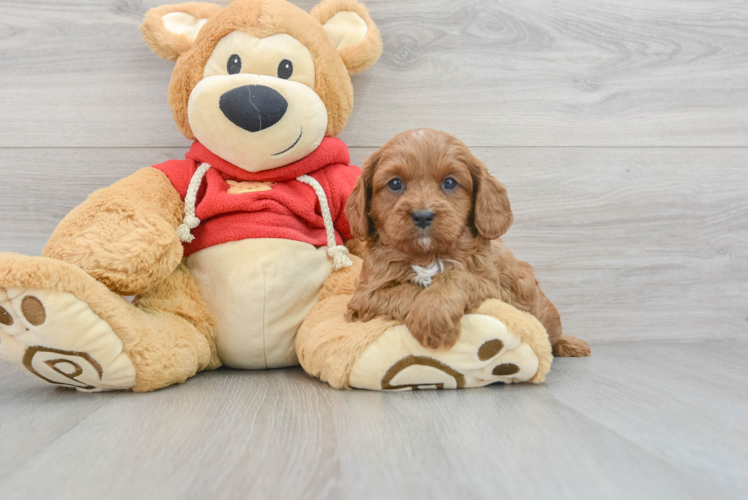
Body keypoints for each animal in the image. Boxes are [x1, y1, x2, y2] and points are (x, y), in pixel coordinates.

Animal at [344, 127, 592, 358]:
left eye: (450, 182)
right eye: (395, 183)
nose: (423, 215)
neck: (428, 255)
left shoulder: (493, 289)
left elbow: (454, 276)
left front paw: (434, 317)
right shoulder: (365, 295)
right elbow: (407, 289)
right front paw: (431, 322)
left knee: (552, 335)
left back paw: (570, 344)